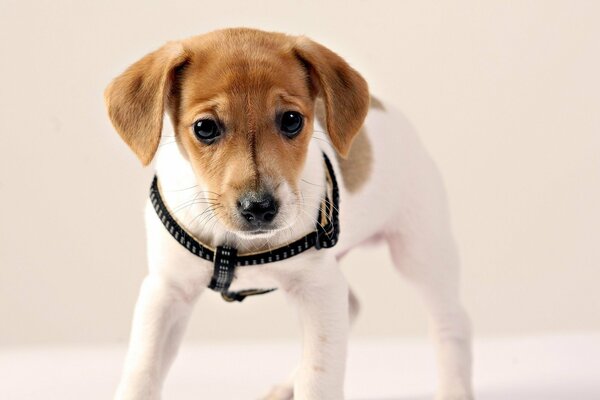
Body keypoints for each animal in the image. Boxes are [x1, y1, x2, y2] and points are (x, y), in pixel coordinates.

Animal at [105, 28, 476, 400]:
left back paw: (454, 388)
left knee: (451, 320)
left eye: (291, 120)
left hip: (420, 251)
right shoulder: (166, 291)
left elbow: (318, 377)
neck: (239, 246)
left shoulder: (318, 288)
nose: (259, 207)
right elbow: (142, 372)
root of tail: (385, 109)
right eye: (205, 128)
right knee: (352, 306)